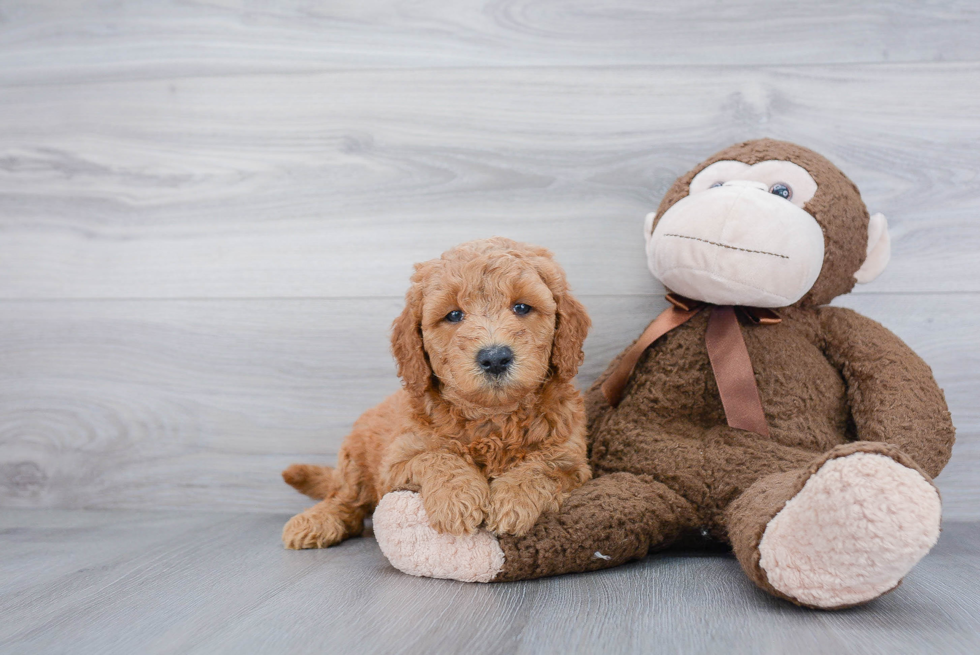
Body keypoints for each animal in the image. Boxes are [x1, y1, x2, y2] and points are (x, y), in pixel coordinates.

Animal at [280, 238, 592, 552]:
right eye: (454, 315)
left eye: (522, 307)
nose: (495, 358)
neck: (491, 418)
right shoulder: (396, 462)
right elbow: (436, 456)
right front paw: (457, 499)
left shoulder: (572, 458)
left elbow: (544, 465)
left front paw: (513, 500)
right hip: (355, 457)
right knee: (345, 497)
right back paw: (317, 521)